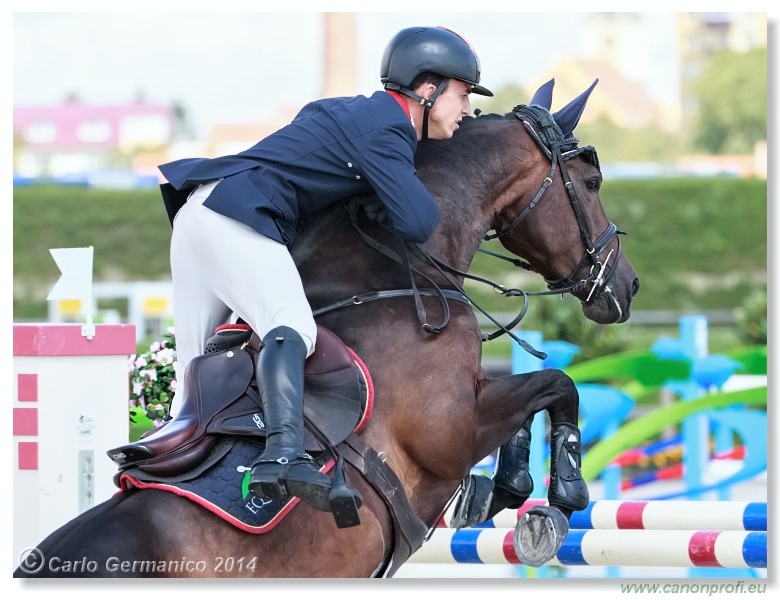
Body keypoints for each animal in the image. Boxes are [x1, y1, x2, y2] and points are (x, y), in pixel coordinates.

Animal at [13, 78, 640, 576]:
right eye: (591, 183)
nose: (627, 286)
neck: (390, 275)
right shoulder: (450, 429)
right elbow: (557, 384)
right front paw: (564, 494)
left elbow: (538, 395)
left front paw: (504, 488)